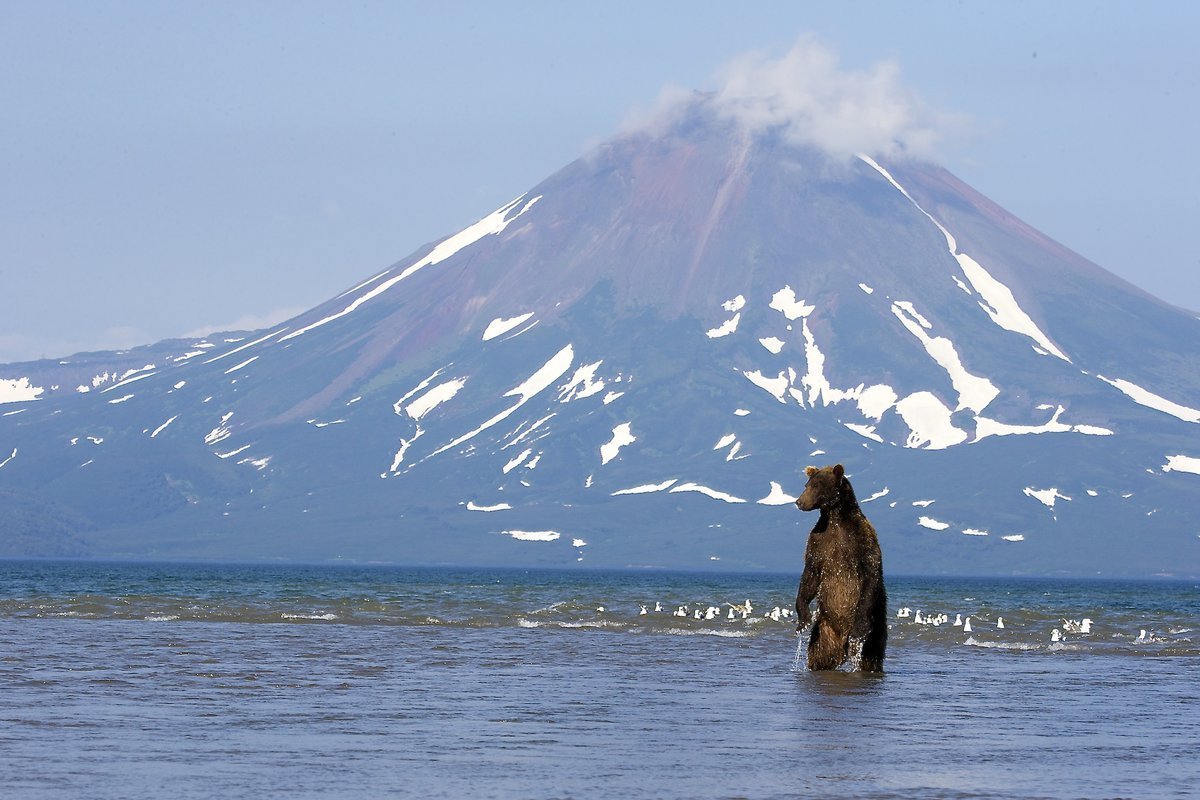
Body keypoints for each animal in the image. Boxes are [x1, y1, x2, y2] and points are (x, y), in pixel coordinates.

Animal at [792, 465, 888, 671]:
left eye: (817, 485)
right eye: (807, 485)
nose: (799, 501)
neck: (835, 519)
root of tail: (842, 644)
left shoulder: (861, 540)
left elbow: (871, 573)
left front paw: (859, 629)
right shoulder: (818, 542)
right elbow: (810, 574)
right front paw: (803, 619)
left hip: (876, 627)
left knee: (871, 657)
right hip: (824, 631)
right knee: (819, 655)